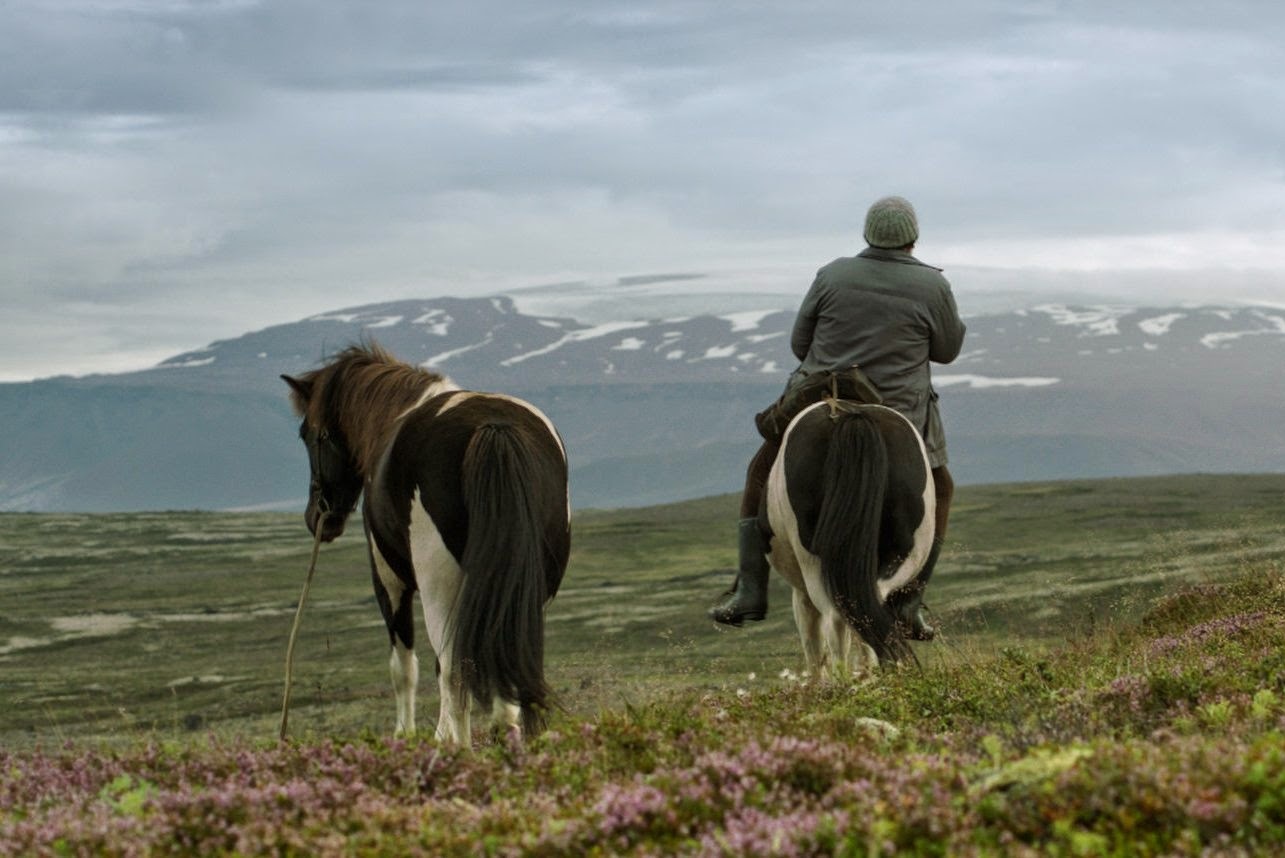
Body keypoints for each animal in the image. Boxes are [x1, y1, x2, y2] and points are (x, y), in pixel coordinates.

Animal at [283, 341, 570, 744]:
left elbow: (405, 667)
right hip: (529, 584)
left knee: (455, 669)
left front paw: (410, 736)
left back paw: (462, 749)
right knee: (509, 651)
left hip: (439, 583)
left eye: (309, 434)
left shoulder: (388, 578)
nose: (317, 519)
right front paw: (443, 733)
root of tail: (495, 428)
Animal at [760, 398, 935, 678]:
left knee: (837, 621)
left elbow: (812, 644)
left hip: (814, 564)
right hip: (902, 554)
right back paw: (873, 675)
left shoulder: (801, 592)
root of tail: (852, 416)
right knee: (868, 611)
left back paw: (844, 681)